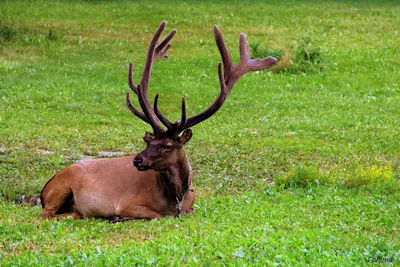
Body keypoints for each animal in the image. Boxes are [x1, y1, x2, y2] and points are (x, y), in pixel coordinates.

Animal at [39, 21, 276, 222]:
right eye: (148, 142)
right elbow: (156, 215)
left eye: (167, 145)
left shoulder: (192, 206)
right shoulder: (129, 203)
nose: (137, 160)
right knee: (47, 215)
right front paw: (117, 217)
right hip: (60, 188)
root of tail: (44, 188)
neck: (176, 200)